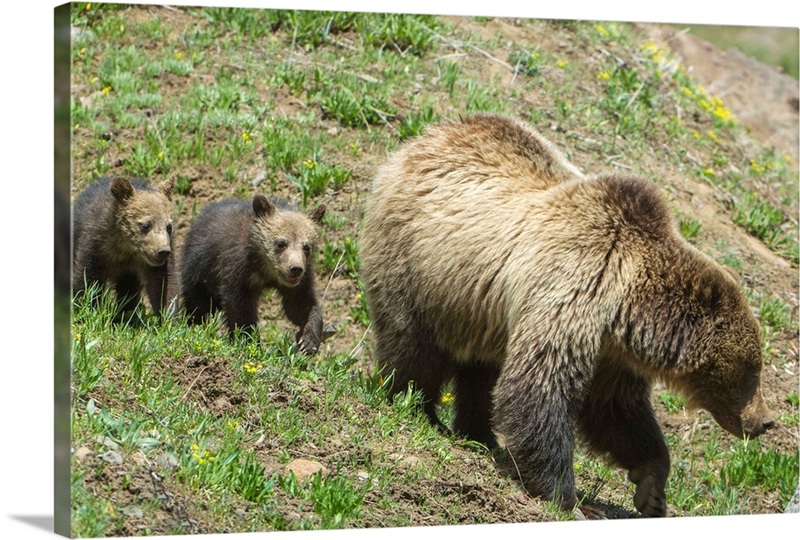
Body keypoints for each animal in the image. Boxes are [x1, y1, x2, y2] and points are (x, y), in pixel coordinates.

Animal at [72, 176, 177, 317]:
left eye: (168, 226)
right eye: (145, 225)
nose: (163, 251)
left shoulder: (156, 262)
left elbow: (162, 284)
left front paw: (168, 315)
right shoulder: (95, 244)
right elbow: (86, 278)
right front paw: (86, 308)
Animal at [180, 194, 326, 355]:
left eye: (306, 247)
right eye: (281, 243)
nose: (295, 268)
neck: (265, 269)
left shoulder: (301, 280)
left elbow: (300, 304)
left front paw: (308, 340)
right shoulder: (238, 268)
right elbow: (239, 306)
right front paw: (248, 340)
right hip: (200, 267)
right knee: (198, 302)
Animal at [359, 113, 775, 518]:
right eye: (752, 369)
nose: (764, 421)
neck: (626, 307)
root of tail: (421, 139)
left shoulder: (609, 349)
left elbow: (615, 410)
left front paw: (651, 487)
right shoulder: (574, 291)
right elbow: (541, 389)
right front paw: (567, 496)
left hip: (482, 311)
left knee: (481, 372)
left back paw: (479, 433)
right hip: (419, 265)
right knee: (413, 345)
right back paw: (416, 406)